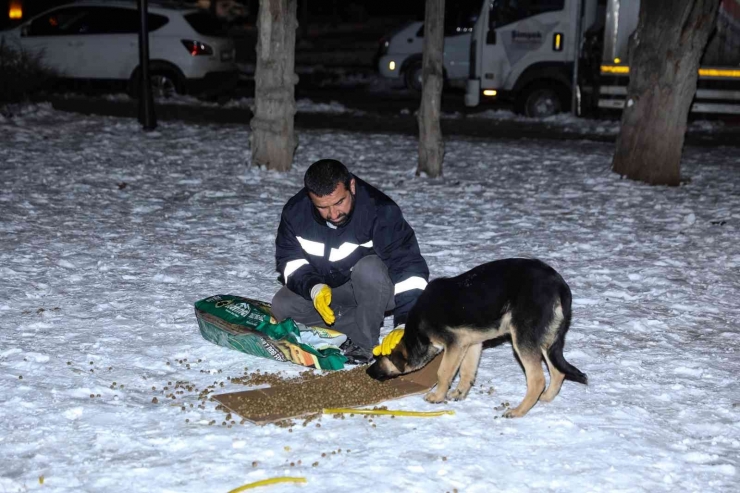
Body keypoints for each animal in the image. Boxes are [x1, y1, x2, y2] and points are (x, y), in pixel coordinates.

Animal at [368, 258, 588, 416]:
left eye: (380, 358)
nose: (368, 372)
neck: (417, 335)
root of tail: (559, 285)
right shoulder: (471, 344)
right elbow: (467, 371)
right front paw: (459, 393)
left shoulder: (454, 344)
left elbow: (444, 372)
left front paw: (438, 396)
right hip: (545, 340)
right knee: (558, 372)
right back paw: (546, 398)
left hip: (523, 339)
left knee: (537, 380)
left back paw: (518, 411)